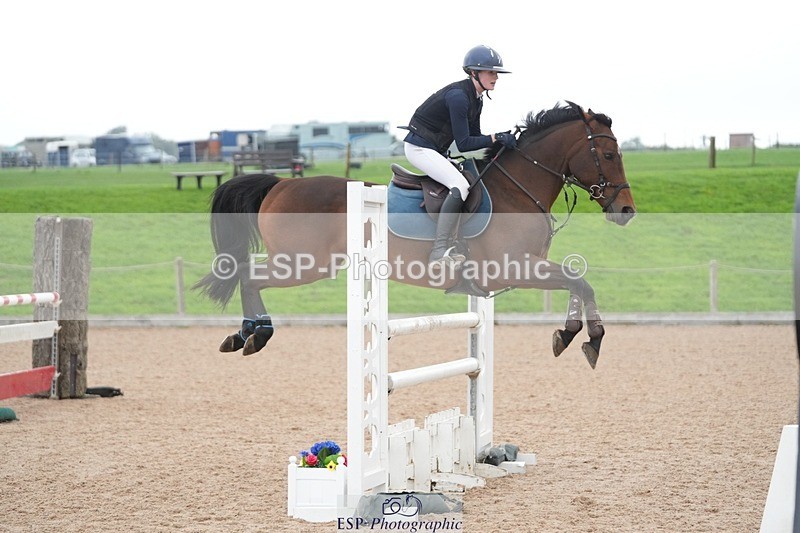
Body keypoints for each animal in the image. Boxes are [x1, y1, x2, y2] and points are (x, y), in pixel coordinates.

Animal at [195, 101, 637, 368]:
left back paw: (243, 334)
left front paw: (576, 335)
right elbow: (579, 280)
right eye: (609, 154)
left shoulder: (529, 266)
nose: (626, 211)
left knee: (248, 277)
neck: (518, 189)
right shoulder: (513, 269)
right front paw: (585, 338)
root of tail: (281, 183)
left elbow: (577, 282)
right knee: (250, 277)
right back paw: (255, 334)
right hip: (303, 264)